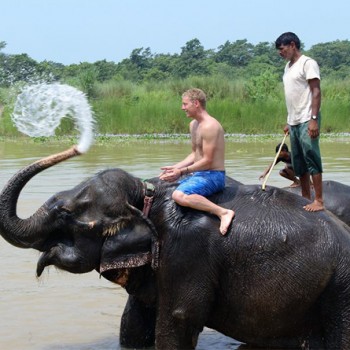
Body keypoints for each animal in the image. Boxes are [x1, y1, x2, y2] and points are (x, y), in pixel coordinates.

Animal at [0, 146, 350, 350]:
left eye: (68, 214)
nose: (75, 147)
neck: (146, 193)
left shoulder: (188, 252)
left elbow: (179, 319)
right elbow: (134, 323)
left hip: (340, 290)